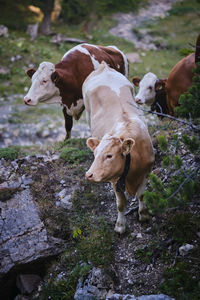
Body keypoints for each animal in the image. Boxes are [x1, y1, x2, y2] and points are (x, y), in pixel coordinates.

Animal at [83, 62, 155, 233]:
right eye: (95, 154)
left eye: (109, 155)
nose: (89, 174)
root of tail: (104, 67)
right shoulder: (115, 180)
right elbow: (121, 204)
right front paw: (120, 226)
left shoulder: (147, 171)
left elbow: (142, 195)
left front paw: (144, 215)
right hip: (87, 113)